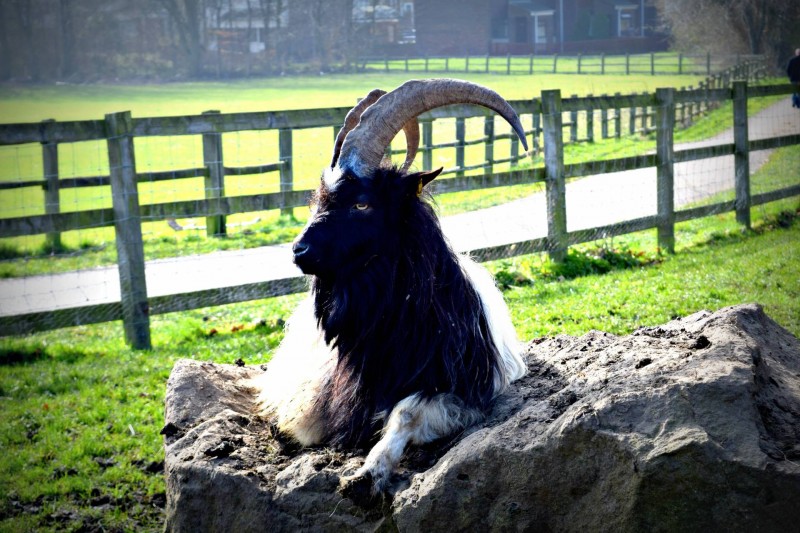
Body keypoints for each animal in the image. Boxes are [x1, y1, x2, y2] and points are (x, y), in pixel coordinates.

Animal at [255, 78, 532, 494]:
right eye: (320, 198)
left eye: (362, 204)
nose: (298, 251)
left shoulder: (462, 389)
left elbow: (407, 414)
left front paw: (367, 475)